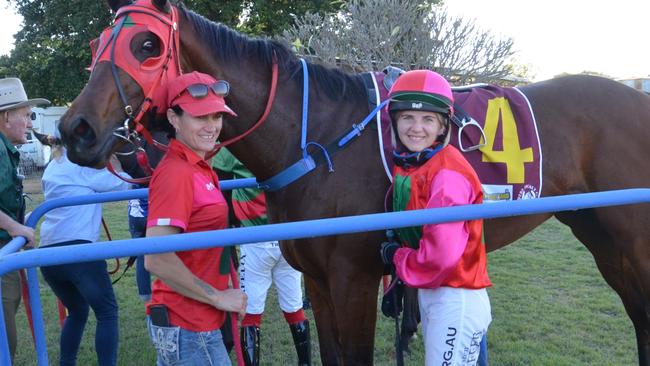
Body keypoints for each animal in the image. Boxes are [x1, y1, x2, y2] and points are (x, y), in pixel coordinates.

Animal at [58, 0, 648, 364]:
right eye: (97, 44)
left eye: (147, 46)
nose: (75, 129)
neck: (317, 139)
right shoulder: (319, 280)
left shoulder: (356, 280)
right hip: (600, 234)